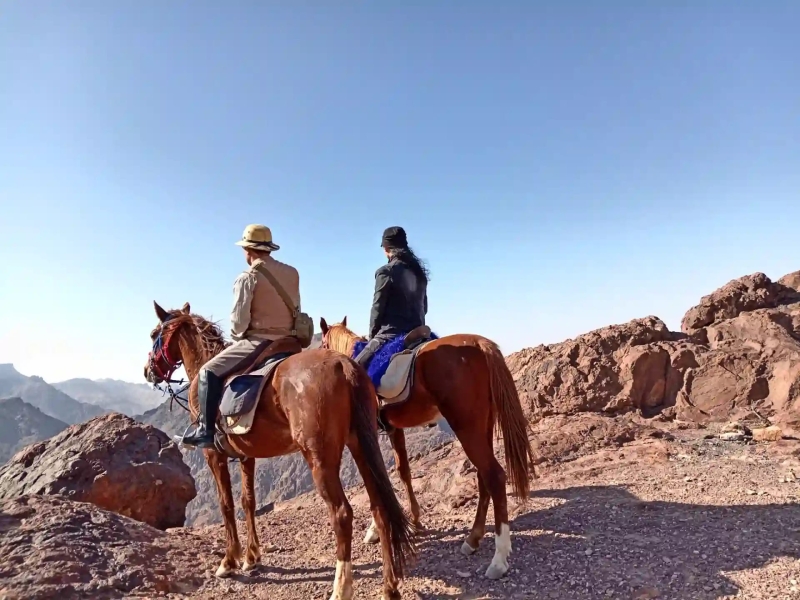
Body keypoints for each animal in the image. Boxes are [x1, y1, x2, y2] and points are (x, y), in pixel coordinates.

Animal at [144, 302, 416, 600]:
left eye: (154, 334)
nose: (148, 370)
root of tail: (344, 365)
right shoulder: (246, 456)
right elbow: (247, 502)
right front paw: (252, 556)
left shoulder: (213, 456)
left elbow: (226, 504)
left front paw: (229, 561)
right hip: (361, 445)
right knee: (380, 507)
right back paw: (389, 587)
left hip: (320, 459)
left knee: (342, 514)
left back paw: (341, 588)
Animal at [316, 318, 536, 580]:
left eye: (322, 344)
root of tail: (479, 344)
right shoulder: (394, 429)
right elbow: (403, 470)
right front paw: (415, 518)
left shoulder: (367, 434)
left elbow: (379, 478)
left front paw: (374, 529)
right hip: (484, 425)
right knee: (484, 476)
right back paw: (472, 539)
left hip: (467, 427)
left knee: (494, 476)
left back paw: (499, 559)